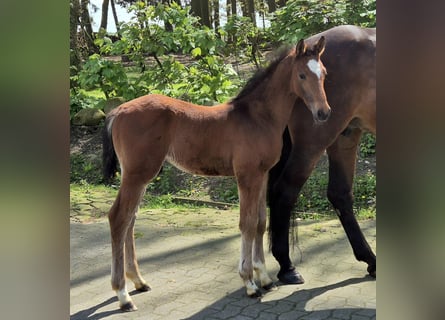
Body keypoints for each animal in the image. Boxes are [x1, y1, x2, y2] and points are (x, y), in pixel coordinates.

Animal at [101, 37, 330, 310]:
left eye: (324, 73)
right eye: (302, 75)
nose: (324, 113)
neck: (258, 117)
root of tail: (117, 111)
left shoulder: (262, 175)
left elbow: (260, 222)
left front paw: (264, 277)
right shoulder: (247, 176)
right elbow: (247, 224)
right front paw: (249, 283)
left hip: (139, 175)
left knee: (130, 219)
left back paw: (138, 281)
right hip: (137, 174)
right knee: (118, 218)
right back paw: (123, 295)